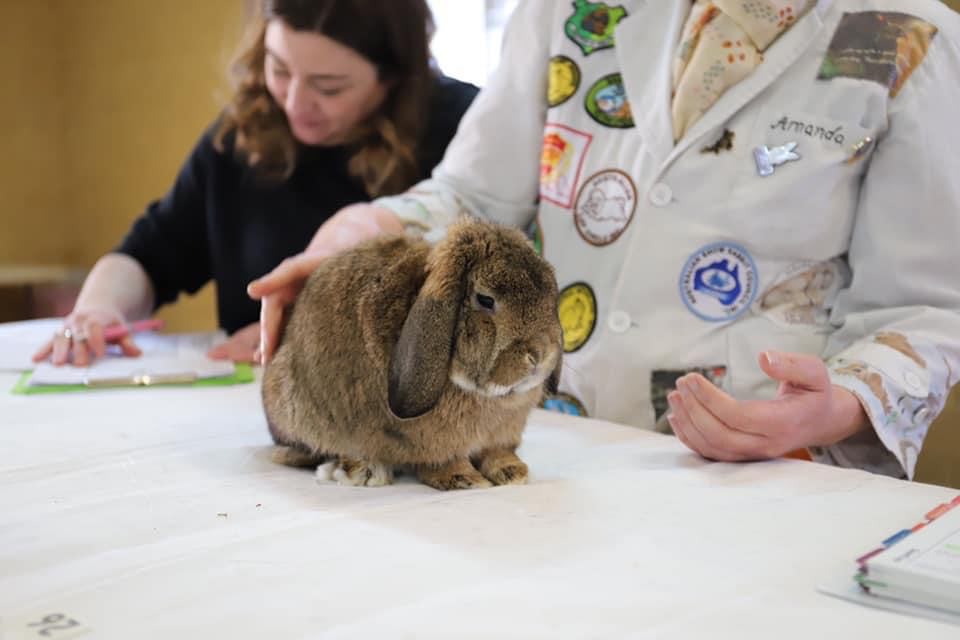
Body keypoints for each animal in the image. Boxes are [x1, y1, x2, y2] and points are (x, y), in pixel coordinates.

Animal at [261, 218, 563, 490]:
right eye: (485, 300)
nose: (539, 355)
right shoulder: (436, 445)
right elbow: (444, 461)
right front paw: (465, 480)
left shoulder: (500, 437)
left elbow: (498, 453)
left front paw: (513, 473)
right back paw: (365, 472)